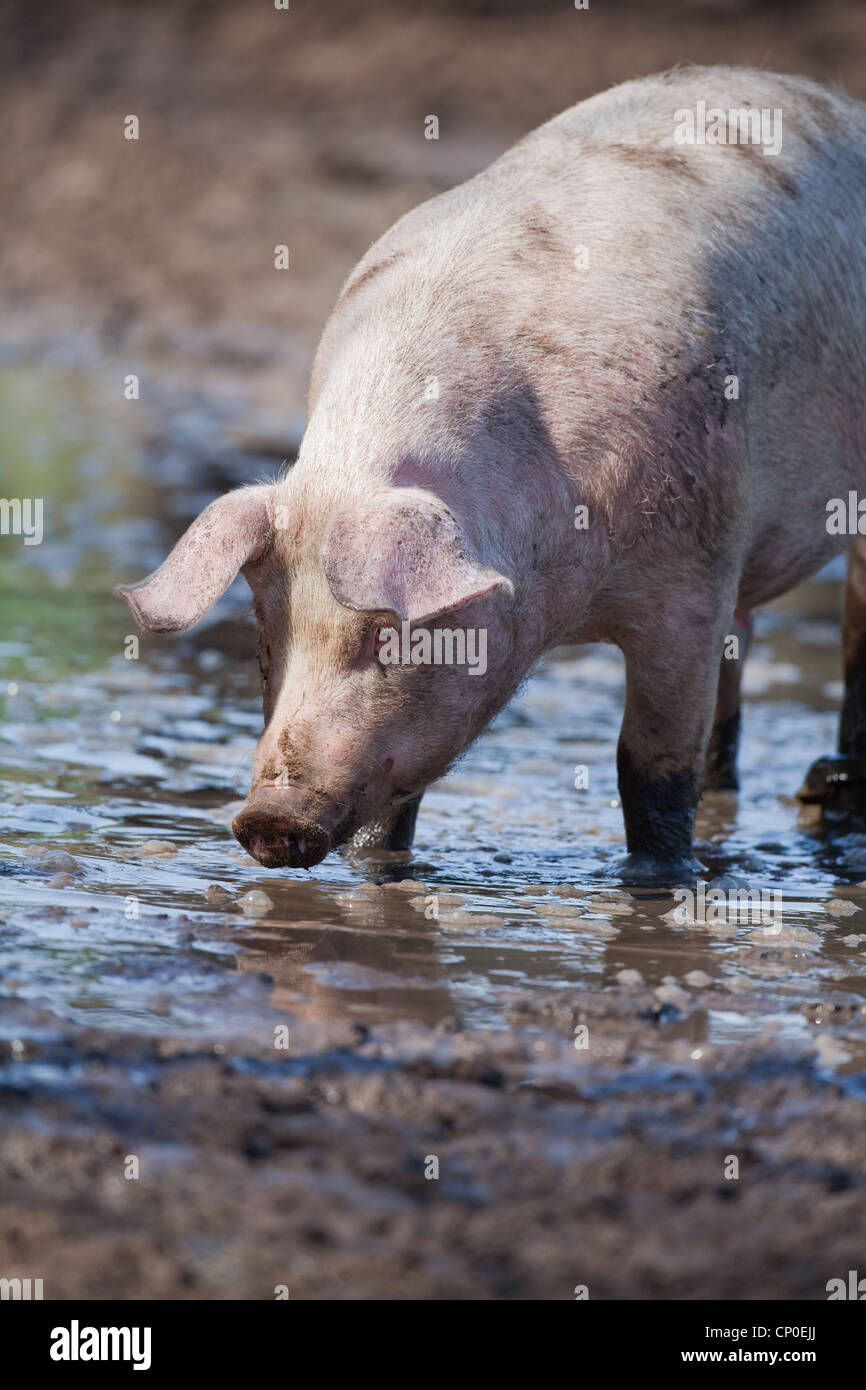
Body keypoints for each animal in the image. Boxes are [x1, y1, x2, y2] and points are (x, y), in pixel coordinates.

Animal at [116, 65, 866, 878]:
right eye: (265, 633)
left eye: (386, 639)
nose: (265, 820)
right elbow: (394, 808)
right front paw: (381, 877)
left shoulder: (691, 583)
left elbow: (651, 776)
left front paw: (656, 882)